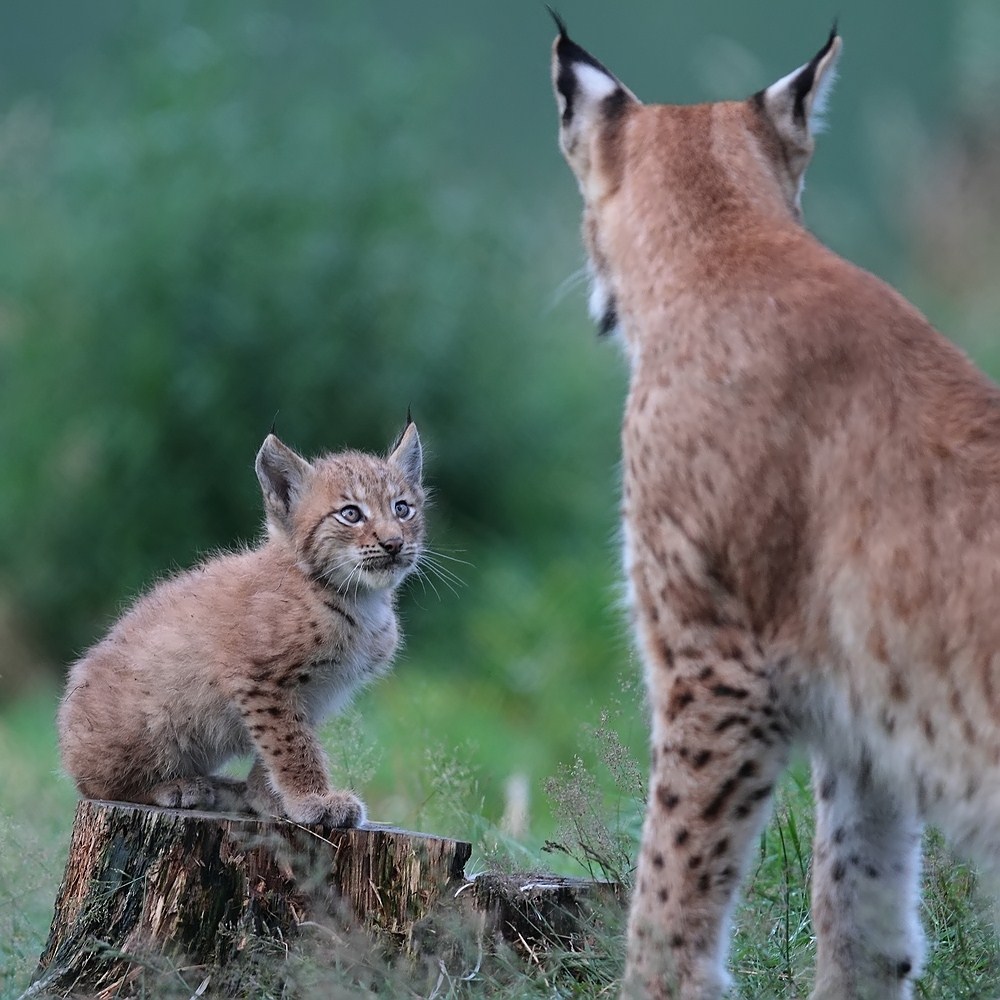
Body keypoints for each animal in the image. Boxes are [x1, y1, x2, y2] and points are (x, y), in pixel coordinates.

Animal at [57, 422, 426, 828]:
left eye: (402, 509)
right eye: (350, 514)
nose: (394, 543)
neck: (359, 598)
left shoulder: (308, 696)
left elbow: (283, 747)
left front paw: (268, 799)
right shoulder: (262, 679)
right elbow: (292, 746)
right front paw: (312, 800)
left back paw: (225, 789)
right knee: (98, 786)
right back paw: (178, 786)